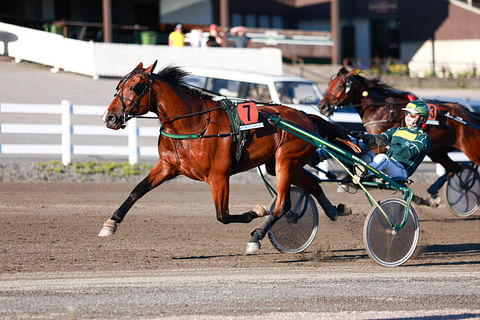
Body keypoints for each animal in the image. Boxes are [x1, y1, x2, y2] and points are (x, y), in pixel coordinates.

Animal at [98, 61, 352, 254]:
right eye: (119, 86)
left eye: (136, 86)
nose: (109, 117)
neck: (193, 123)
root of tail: (306, 117)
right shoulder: (167, 166)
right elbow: (137, 190)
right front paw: (110, 223)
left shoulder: (219, 176)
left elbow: (223, 215)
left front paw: (257, 212)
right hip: (281, 164)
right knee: (312, 185)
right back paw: (334, 210)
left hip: (285, 161)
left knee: (282, 204)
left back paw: (257, 236)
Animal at [318, 67, 480, 205]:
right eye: (330, 84)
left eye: (340, 85)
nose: (322, 106)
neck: (381, 109)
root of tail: (469, 115)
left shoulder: (380, 147)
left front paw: (351, 179)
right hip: (437, 151)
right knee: (453, 168)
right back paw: (432, 193)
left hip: (471, 150)